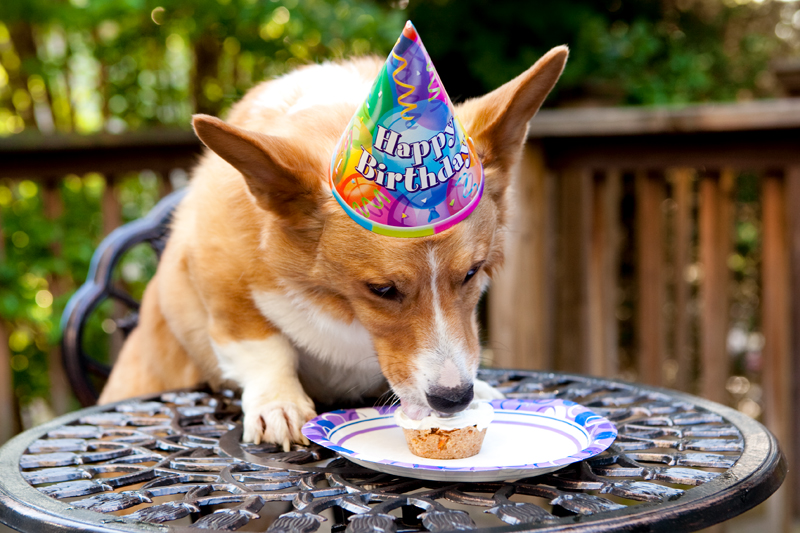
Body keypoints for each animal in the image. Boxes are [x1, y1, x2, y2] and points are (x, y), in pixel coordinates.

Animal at [97, 43, 564, 448]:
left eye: (471, 273)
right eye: (382, 290)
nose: (454, 400)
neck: (338, 303)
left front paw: (481, 390)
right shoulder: (219, 285)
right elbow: (262, 347)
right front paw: (279, 404)